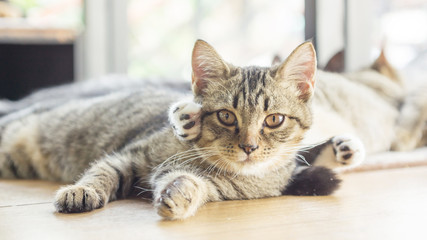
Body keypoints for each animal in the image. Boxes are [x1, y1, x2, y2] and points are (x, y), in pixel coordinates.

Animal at [0, 39, 344, 219]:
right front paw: (83, 190)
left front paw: (180, 193)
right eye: (226, 116)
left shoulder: (219, 190)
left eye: (274, 120)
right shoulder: (129, 155)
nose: (249, 147)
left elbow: (194, 184)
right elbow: (102, 173)